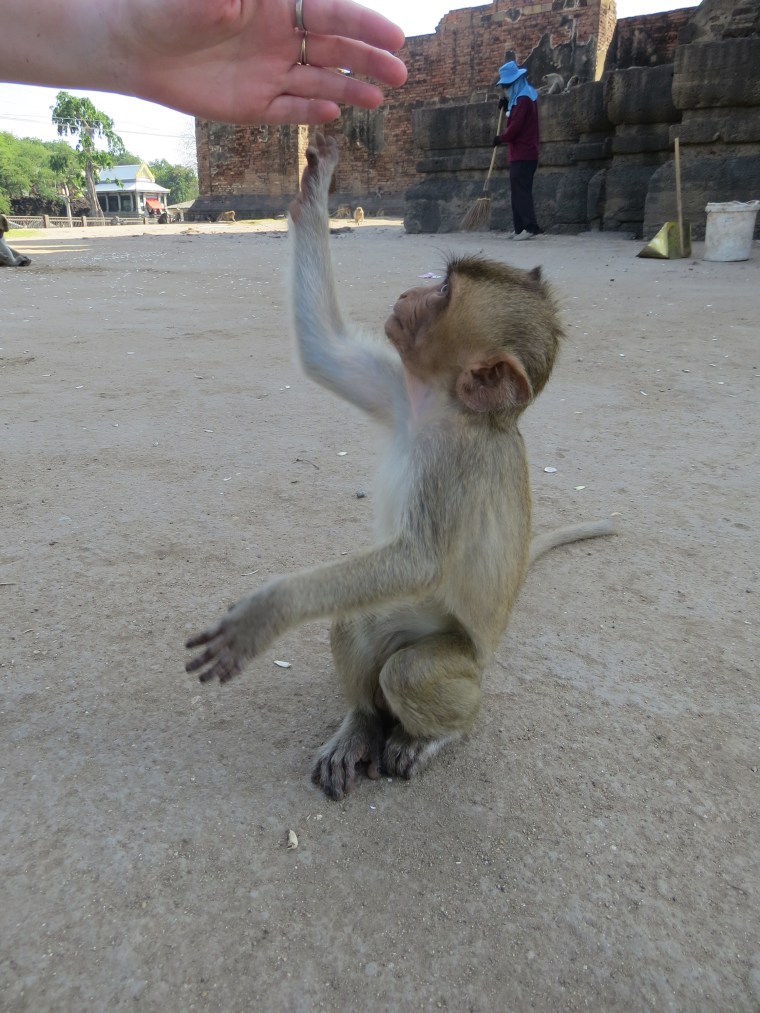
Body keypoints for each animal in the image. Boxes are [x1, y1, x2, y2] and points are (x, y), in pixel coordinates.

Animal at [186, 134, 615, 800]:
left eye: (441, 296)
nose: (409, 293)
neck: (442, 408)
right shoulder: (399, 388)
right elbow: (323, 349)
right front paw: (315, 189)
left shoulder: (456, 463)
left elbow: (419, 560)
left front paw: (270, 610)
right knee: (356, 623)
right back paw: (362, 723)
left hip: (465, 663)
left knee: (412, 671)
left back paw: (432, 735)